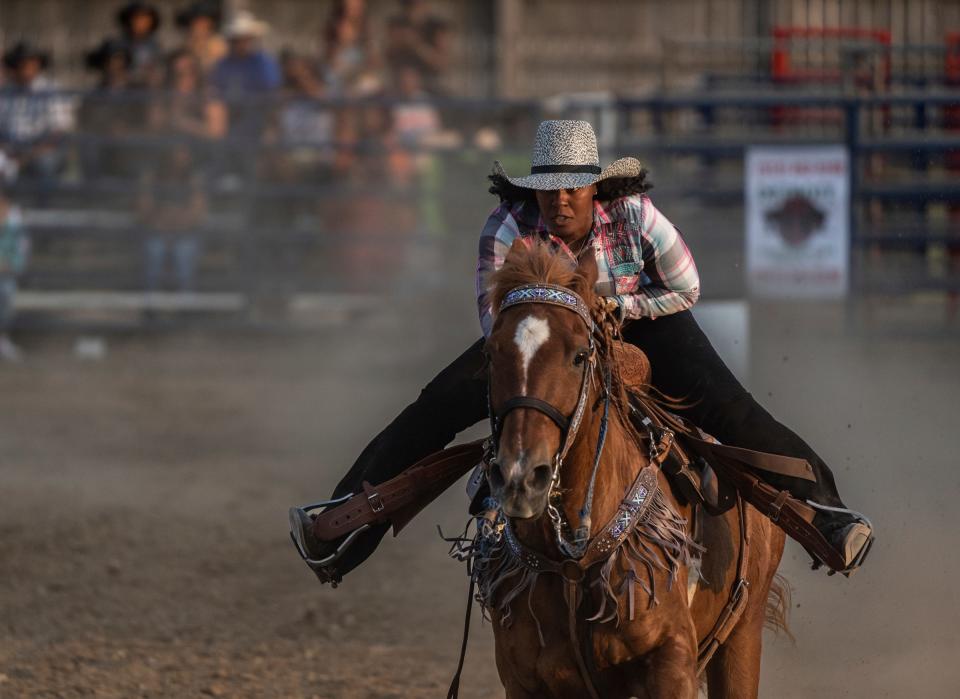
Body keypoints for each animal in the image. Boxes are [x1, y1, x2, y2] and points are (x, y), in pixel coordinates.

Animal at [476, 242, 792, 699]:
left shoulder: (671, 662)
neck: (572, 562)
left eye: (579, 355)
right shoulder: (523, 679)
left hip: (742, 637)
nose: (521, 476)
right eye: (491, 354)